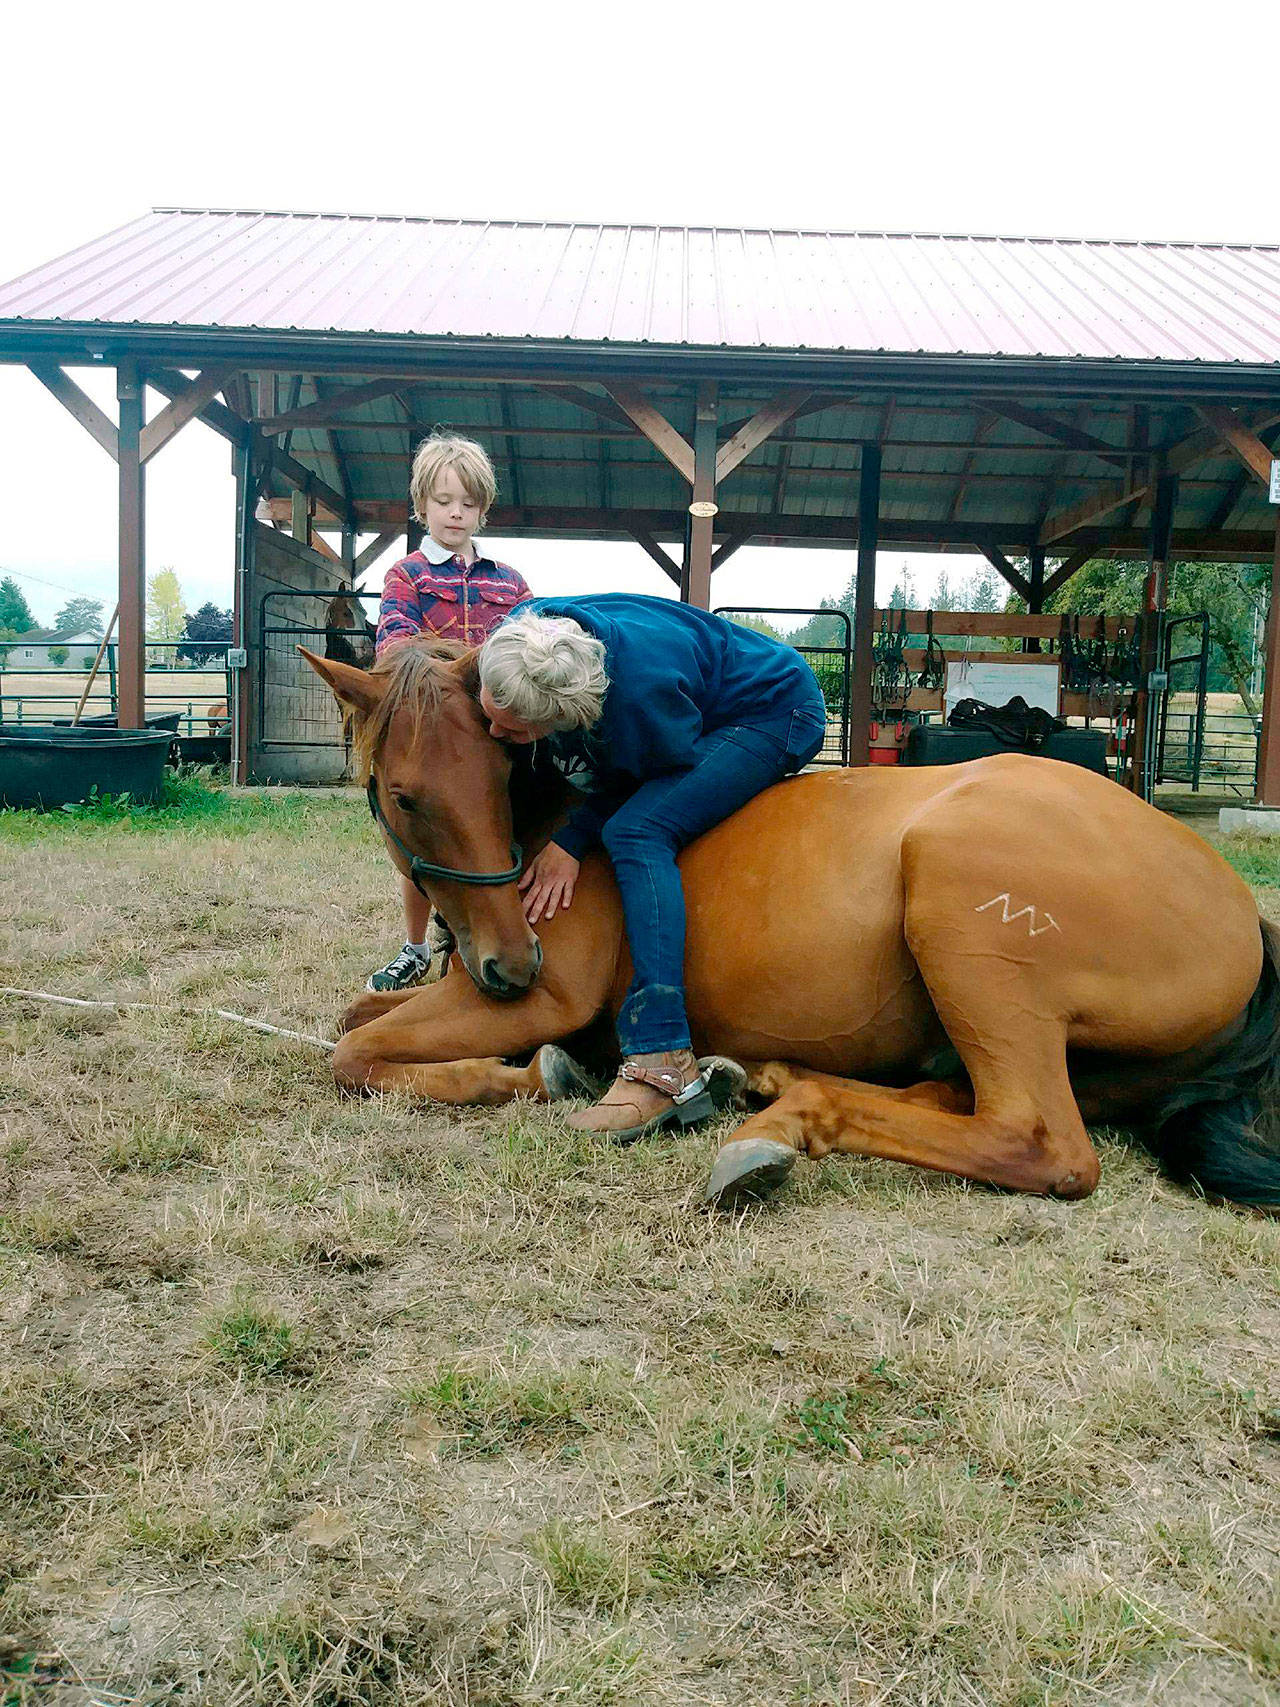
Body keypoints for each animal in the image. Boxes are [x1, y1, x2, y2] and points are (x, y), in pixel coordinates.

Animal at [299, 639, 1280, 1215]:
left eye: (502, 776)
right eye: (406, 796)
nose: (511, 965)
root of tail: (1244, 917)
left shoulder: (547, 999)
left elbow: (351, 1055)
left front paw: (537, 1074)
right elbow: (353, 1022)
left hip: (967, 921)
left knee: (1036, 1140)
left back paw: (765, 1123)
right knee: (945, 1096)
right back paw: (768, 1085)